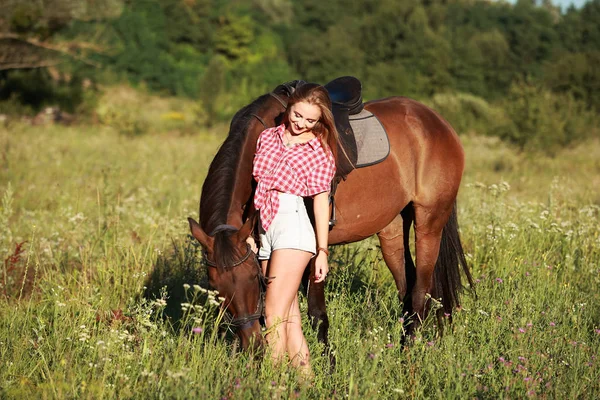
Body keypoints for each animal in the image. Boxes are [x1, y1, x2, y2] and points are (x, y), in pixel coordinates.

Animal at [188, 81, 474, 350]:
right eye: (215, 287)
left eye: (251, 279)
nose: (253, 344)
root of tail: (438, 122)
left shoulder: (313, 244)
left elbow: (317, 315)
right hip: (392, 230)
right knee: (408, 288)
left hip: (429, 223)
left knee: (420, 293)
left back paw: (408, 356)